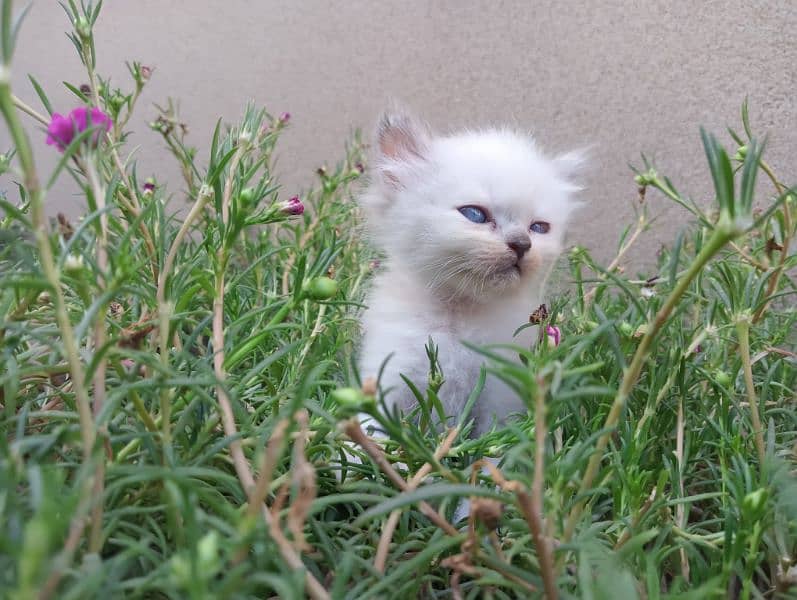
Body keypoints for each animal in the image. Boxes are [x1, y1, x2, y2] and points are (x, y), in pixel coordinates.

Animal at [360, 108, 580, 438]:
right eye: (475, 214)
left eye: (539, 227)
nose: (522, 244)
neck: (461, 316)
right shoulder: (389, 380)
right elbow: (367, 437)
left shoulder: (502, 398)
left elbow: (493, 447)